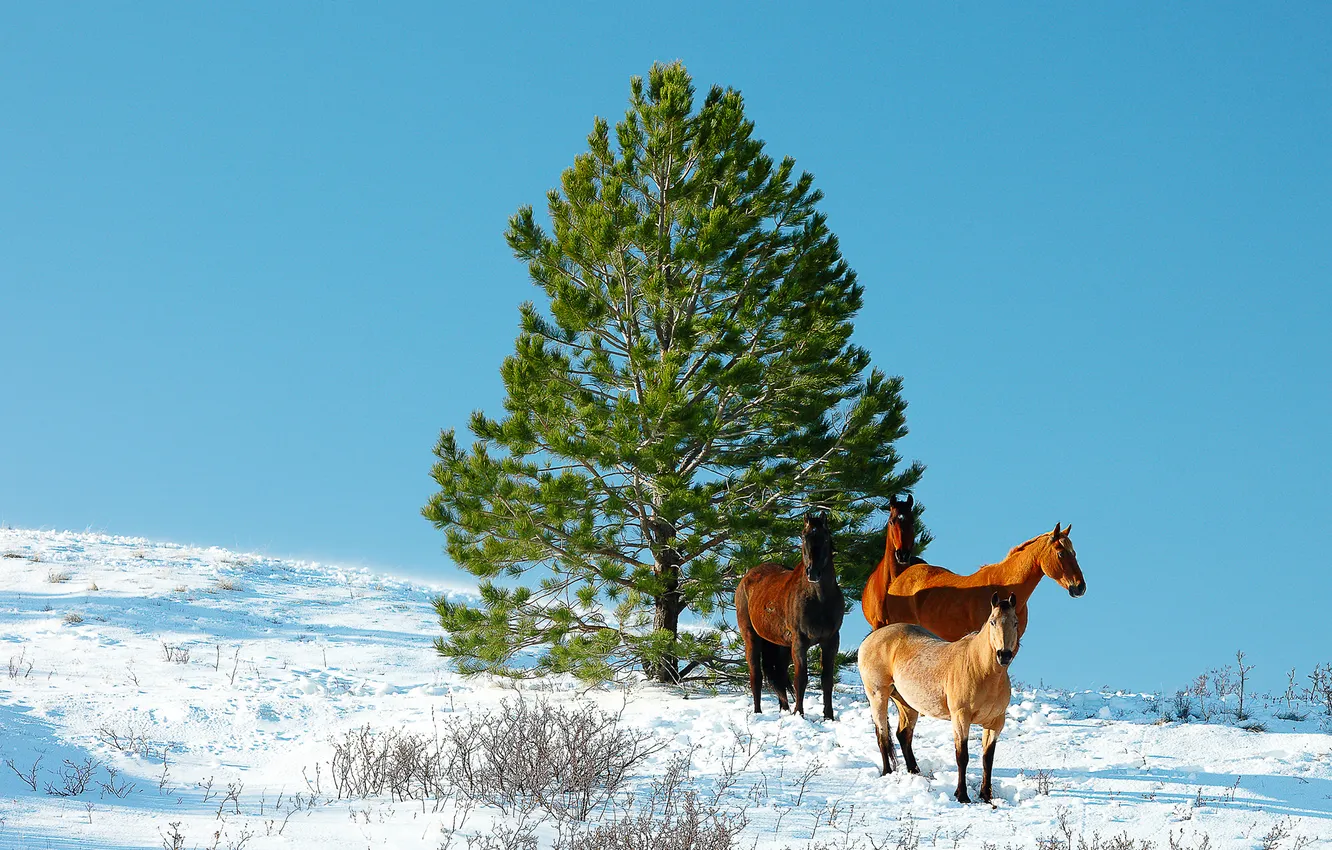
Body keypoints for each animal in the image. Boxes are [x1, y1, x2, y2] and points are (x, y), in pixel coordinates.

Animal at [729, 511, 841, 719]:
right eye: (804, 537)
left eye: (825, 537)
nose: (813, 572)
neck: (819, 599)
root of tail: (746, 578)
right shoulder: (799, 641)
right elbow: (800, 679)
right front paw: (799, 713)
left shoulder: (831, 641)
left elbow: (827, 680)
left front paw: (828, 717)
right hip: (752, 637)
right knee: (756, 675)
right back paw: (758, 712)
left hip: (780, 645)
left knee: (779, 675)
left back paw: (784, 709)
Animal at [852, 591, 1017, 804]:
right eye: (992, 622)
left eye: (1015, 622)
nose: (1004, 655)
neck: (980, 669)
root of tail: (871, 638)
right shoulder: (960, 718)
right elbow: (962, 756)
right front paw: (962, 796)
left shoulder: (995, 723)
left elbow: (988, 759)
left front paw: (986, 796)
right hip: (878, 695)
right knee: (883, 735)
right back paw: (888, 773)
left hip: (906, 703)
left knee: (903, 735)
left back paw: (914, 772)